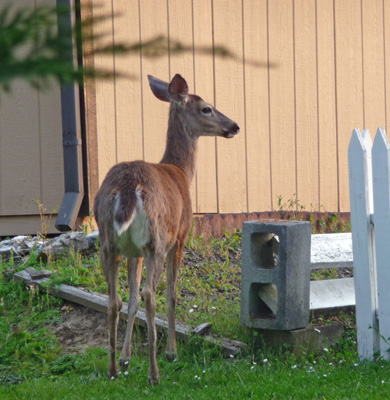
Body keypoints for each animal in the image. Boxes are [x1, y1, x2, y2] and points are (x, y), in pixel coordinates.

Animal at [94, 72, 241, 384]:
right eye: (207, 108)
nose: (234, 126)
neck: (181, 172)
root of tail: (128, 188)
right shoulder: (182, 236)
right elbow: (172, 295)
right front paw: (171, 351)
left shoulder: (132, 251)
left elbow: (132, 299)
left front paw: (125, 357)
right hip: (157, 239)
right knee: (152, 294)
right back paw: (155, 373)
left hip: (108, 242)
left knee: (114, 299)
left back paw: (113, 369)